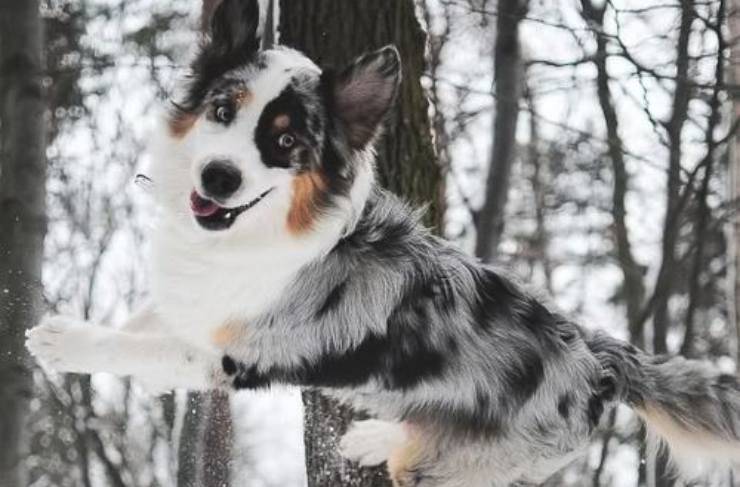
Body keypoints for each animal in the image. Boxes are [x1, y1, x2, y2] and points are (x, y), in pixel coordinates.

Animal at [26, 0, 740, 487]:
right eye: (223, 111)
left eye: (286, 142)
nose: (218, 178)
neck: (257, 233)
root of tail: (604, 357)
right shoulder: (191, 302)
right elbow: (146, 322)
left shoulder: (239, 357)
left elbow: (144, 346)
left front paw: (66, 343)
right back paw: (373, 437)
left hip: (460, 463)